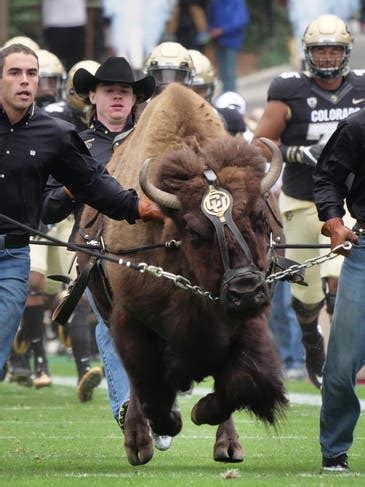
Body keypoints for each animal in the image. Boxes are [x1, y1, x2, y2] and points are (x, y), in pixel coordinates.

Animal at [79, 83, 288, 466]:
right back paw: (139, 443)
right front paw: (167, 424)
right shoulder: (129, 321)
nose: (245, 290)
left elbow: (241, 381)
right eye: (193, 229)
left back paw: (228, 445)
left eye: (260, 218)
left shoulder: (248, 323)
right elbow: (146, 384)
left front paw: (202, 414)